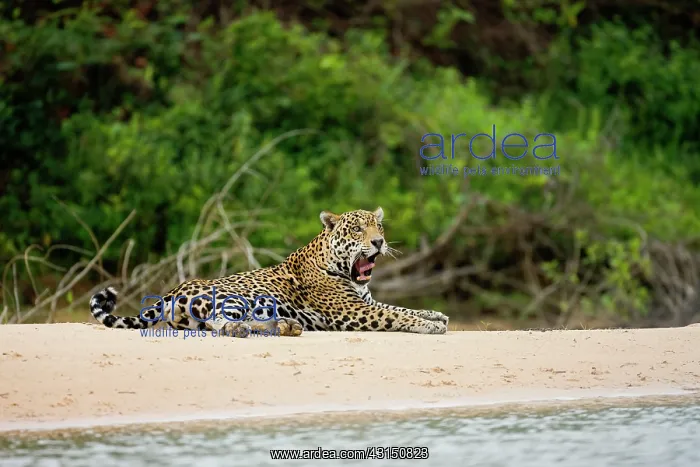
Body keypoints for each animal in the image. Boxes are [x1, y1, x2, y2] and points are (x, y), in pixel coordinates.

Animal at [89, 207, 449, 337]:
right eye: (358, 229)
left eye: (379, 227)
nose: (378, 242)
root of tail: (170, 293)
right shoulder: (351, 311)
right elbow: (396, 315)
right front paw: (430, 325)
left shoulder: (364, 301)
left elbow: (402, 307)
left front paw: (436, 315)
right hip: (235, 296)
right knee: (220, 323)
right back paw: (258, 329)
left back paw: (286, 326)